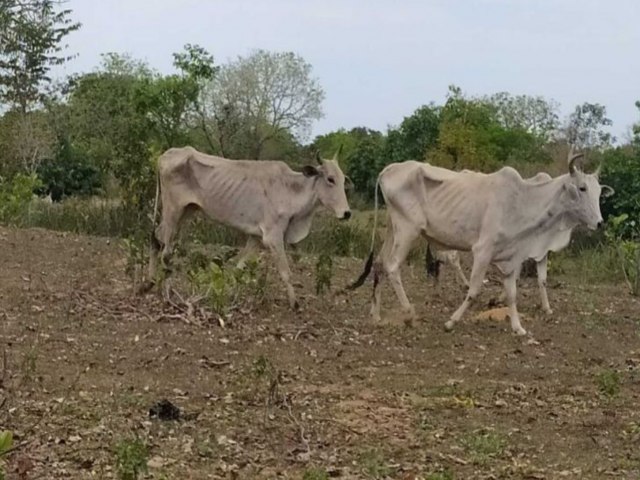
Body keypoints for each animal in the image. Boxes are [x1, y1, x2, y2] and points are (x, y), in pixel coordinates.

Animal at [148, 145, 352, 308]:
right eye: (330, 179)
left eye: (343, 180)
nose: (347, 213)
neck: (289, 190)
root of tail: (165, 155)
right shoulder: (273, 237)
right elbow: (286, 272)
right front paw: (294, 304)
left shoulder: (256, 237)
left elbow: (239, 267)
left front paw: (225, 294)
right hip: (173, 211)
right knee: (166, 251)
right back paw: (165, 292)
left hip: (185, 211)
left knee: (157, 238)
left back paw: (150, 283)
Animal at [350, 152, 616, 336]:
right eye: (581, 188)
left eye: (598, 192)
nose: (600, 222)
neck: (522, 201)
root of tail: (388, 170)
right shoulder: (482, 251)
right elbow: (474, 290)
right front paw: (451, 321)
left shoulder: (511, 257)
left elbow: (512, 294)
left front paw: (518, 328)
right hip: (408, 230)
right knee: (393, 266)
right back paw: (408, 314)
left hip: (392, 229)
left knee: (380, 263)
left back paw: (375, 315)